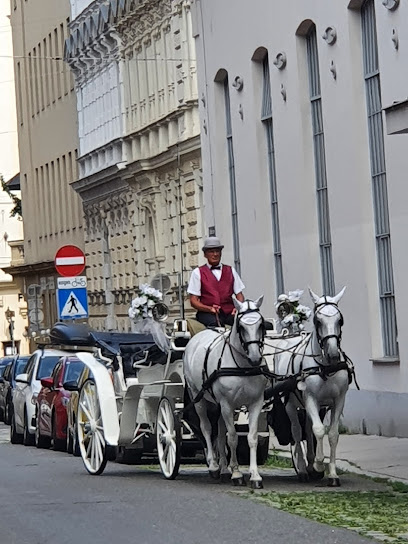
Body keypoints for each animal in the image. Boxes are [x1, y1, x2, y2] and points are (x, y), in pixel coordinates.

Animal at [184, 298, 268, 488]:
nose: (255, 358)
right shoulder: (227, 405)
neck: (243, 367)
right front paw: (236, 473)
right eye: (241, 327)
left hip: (218, 405)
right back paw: (214, 465)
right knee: (207, 428)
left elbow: (251, 437)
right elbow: (233, 438)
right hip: (199, 398)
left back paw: (223, 468)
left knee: (220, 433)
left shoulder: (255, 403)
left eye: (261, 324)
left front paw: (255, 476)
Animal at [270, 286, 350, 486]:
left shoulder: (338, 400)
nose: (333, 354)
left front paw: (332, 474)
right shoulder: (311, 398)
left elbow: (332, 434)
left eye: (340, 320)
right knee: (297, 432)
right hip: (291, 404)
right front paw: (319, 465)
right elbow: (319, 430)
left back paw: (310, 464)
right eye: (317, 320)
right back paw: (303, 469)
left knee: (307, 427)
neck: (325, 367)